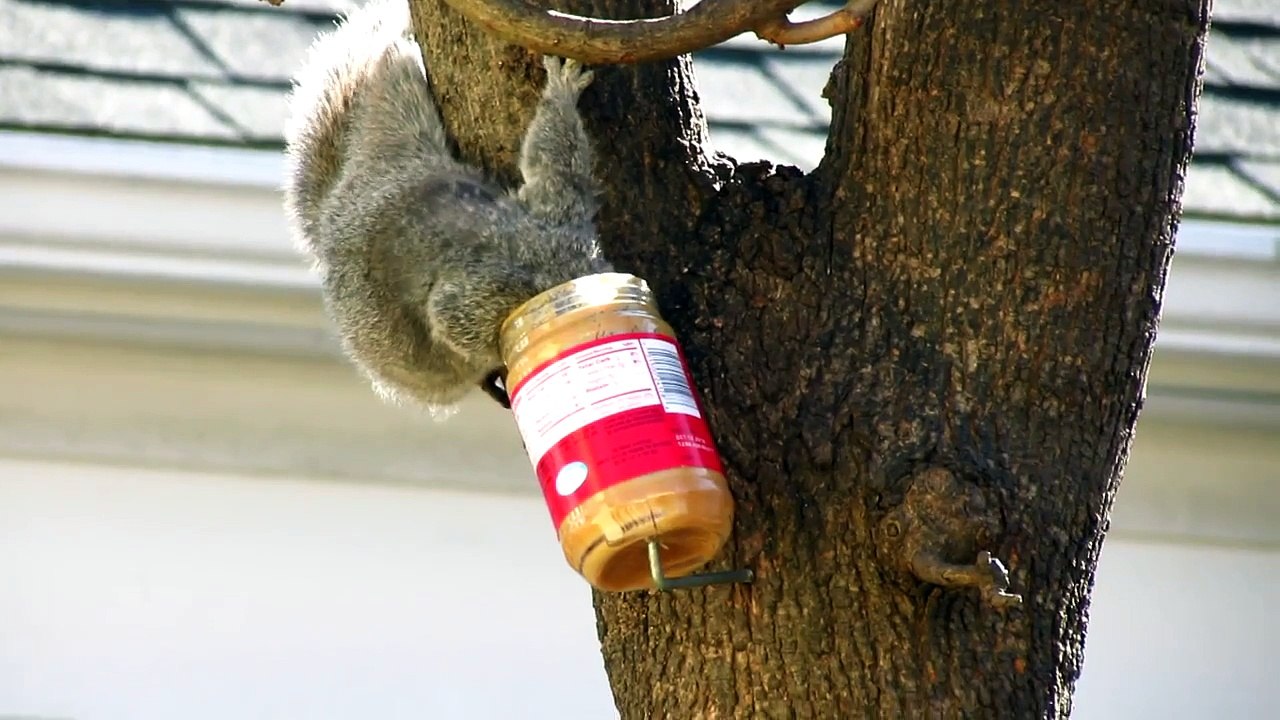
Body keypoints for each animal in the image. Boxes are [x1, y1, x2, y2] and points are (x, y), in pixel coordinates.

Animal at [283, 0, 612, 414]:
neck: (562, 268)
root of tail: (332, 215)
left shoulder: (564, 210)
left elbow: (552, 161)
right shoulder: (488, 293)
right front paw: (563, 88)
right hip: (400, 106)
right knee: (395, 69)